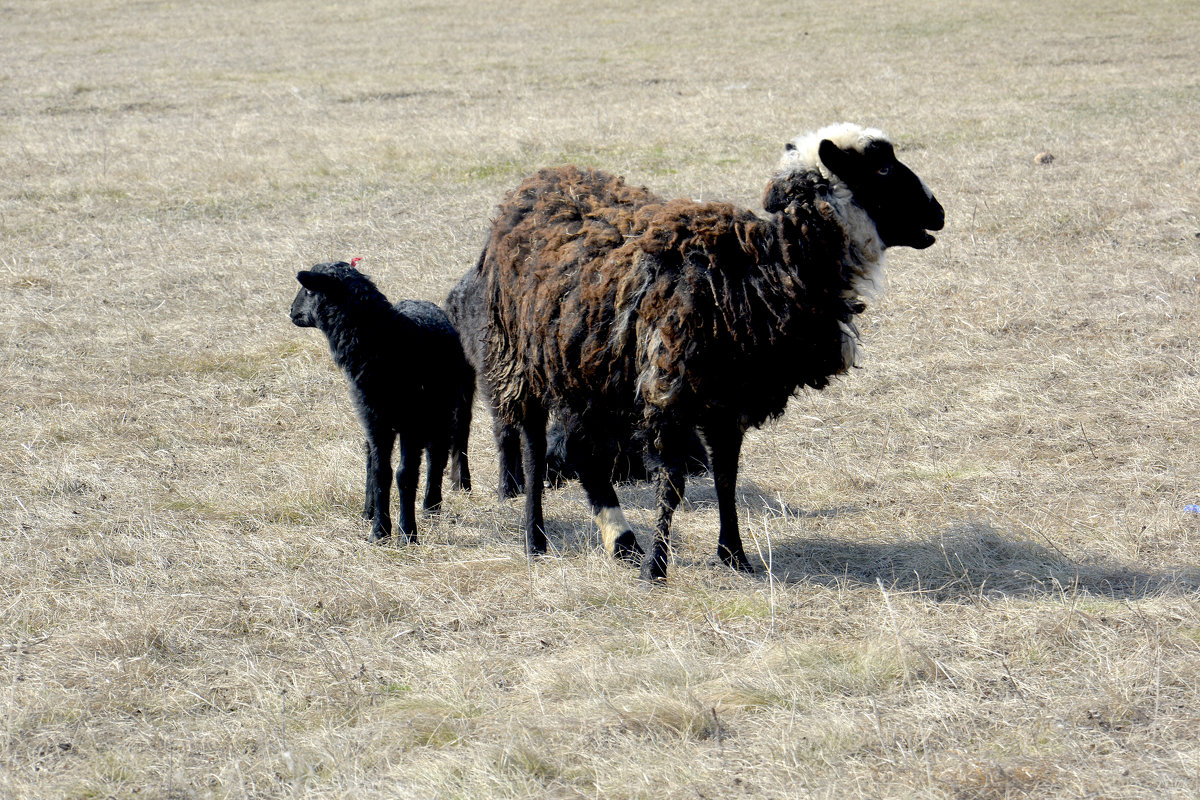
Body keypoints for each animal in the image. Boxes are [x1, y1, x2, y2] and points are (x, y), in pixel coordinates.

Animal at [290, 262, 472, 544]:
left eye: (309, 290)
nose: (291, 312)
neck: (388, 341)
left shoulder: (412, 422)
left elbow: (404, 474)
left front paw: (407, 534)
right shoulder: (374, 420)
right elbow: (380, 472)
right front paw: (379, 531)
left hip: (441, 408)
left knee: (437, 452)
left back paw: (431, 506)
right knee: (370, 458)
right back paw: (369, 510)